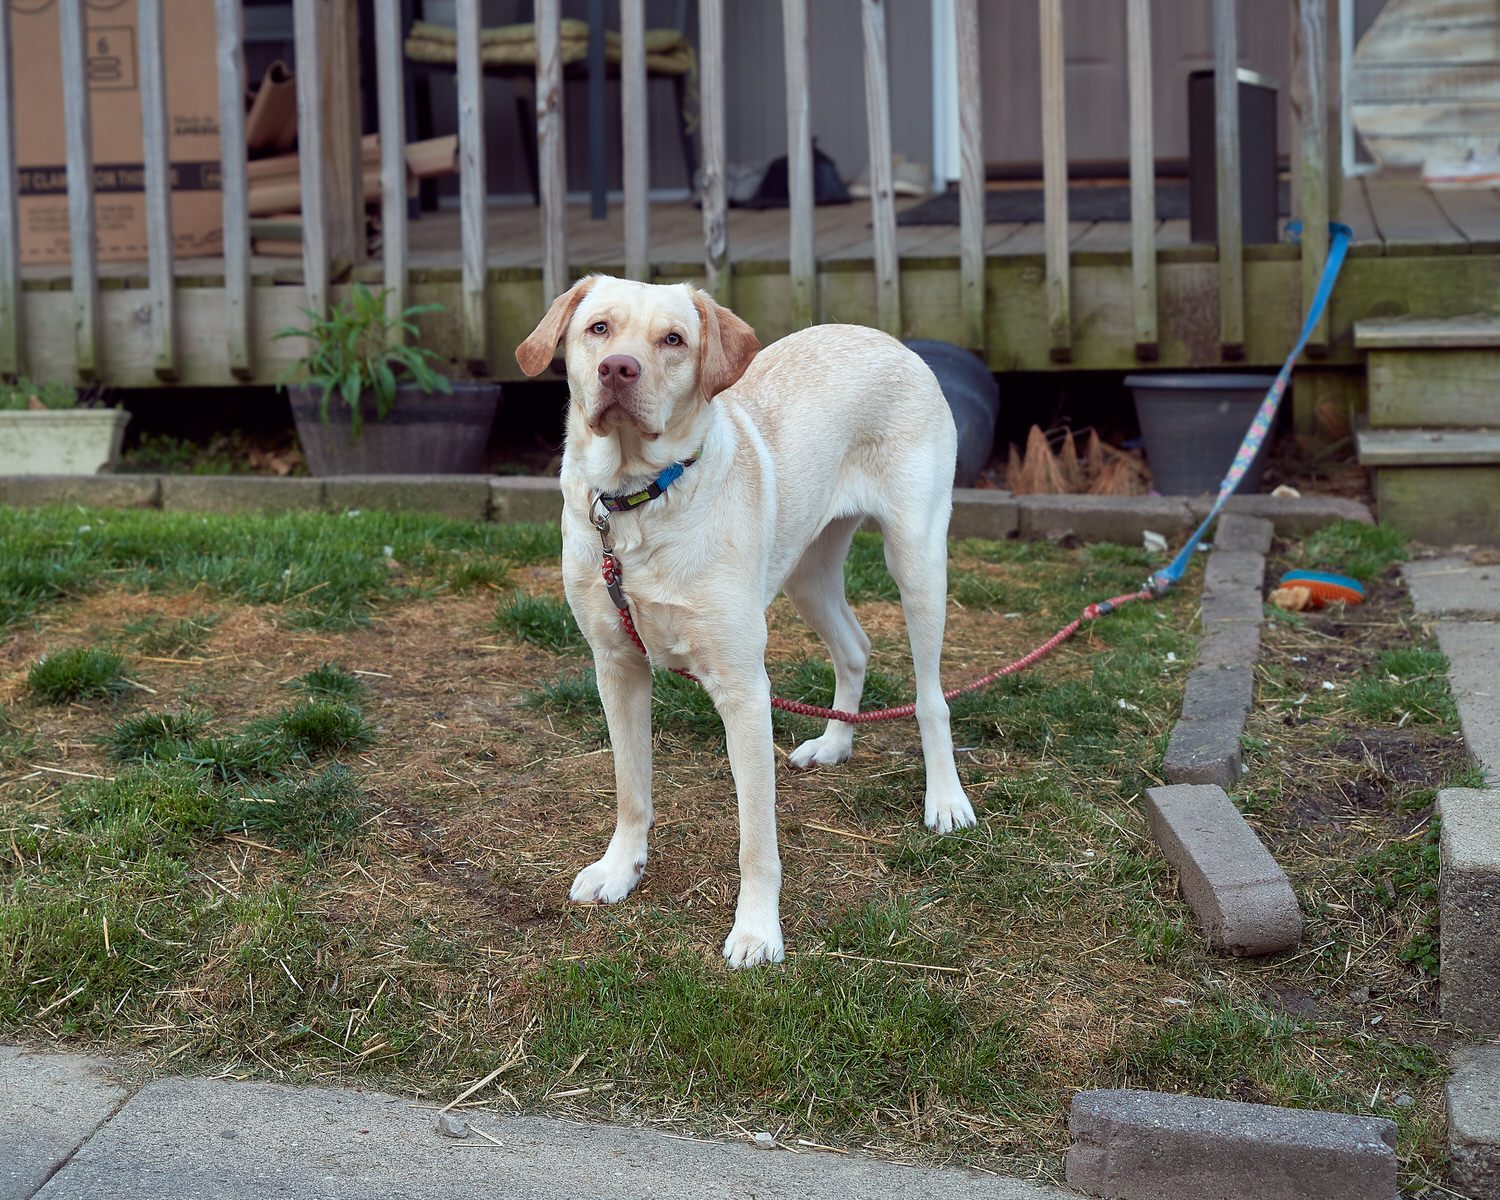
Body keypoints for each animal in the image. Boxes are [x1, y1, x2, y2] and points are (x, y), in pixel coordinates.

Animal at [516, 276, 975, 968]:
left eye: (673, 340)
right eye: (598, 328)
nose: (617, 369)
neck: (637, 501)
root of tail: (884, 337)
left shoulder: (743, 689)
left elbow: (756, 836)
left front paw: (757, 930)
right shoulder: (616, 667)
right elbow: (631, 788)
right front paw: (621, 870)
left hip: (917, 559)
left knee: (930, 698)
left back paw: (945, 799)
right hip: (807, 571)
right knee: (856, 646)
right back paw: (834, 744)